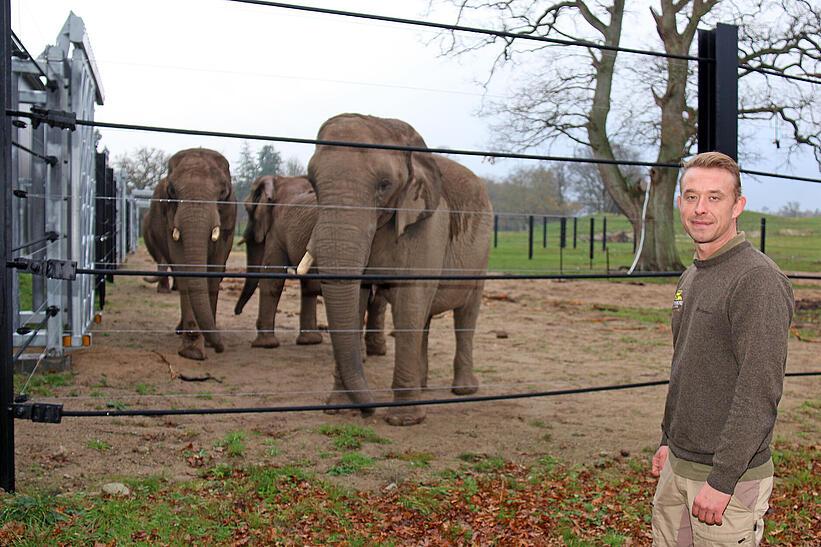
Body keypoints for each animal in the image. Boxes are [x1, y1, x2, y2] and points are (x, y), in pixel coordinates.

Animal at [144, 148, 237, 362]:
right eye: (171, 191)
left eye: (223, 193)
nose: (220, 347)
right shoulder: (169, 218)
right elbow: (183, 268)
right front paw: (192, 352)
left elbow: (214, 270)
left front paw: (204, 345)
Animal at [234, 176, 388, 356]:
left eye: (248, 208)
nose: (237, 312)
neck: (280, 180)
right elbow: (307, 285)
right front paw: (310, 342)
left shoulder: (277, 230)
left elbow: (272, 279)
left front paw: (264, 345)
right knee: (379, 295)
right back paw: (376, 351)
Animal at [302, 113, 490, 426]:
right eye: (313, 184)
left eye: (384, 184)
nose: (369, 411)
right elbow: (357, 300)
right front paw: (338, 408)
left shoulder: (430, 225)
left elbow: (410, 299)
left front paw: (404, 420)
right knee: (424, 320)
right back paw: (423, 386)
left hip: (481, 257)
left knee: (465, 314)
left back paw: (463, 391)